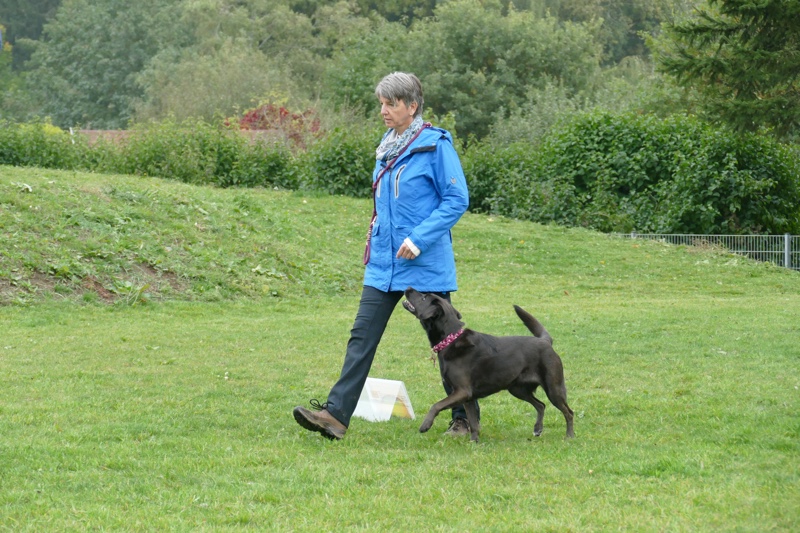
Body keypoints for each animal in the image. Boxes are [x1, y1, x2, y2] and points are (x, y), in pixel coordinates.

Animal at [402, 287, 574, 442]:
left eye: (424, 297)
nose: (408, 288)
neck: (450, 339)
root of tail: (545, 341)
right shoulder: (467, 397)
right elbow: (473, 422)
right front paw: (474, 442)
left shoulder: (462, 392)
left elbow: (436, 405)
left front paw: (425, 425)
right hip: (517, 389)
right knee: (541, 405)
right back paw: (538, 429)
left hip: (553, 388)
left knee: (568, 412)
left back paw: (569, 436)